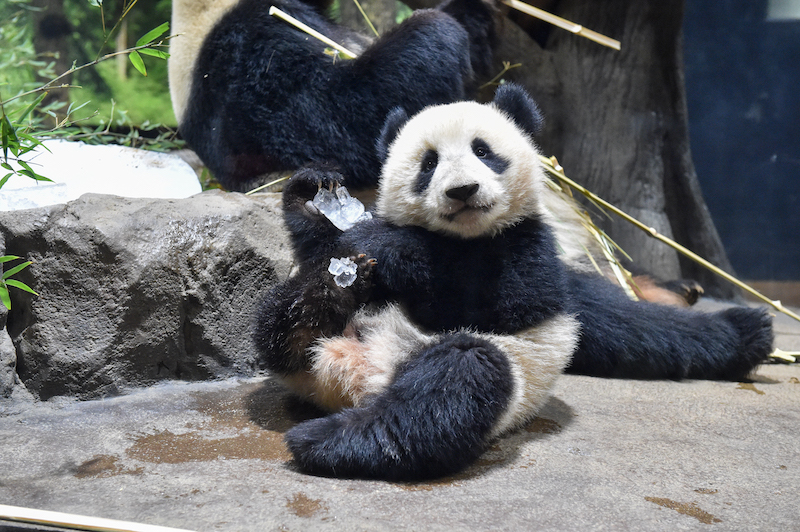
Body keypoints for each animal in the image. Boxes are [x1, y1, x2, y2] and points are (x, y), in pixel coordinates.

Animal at [252, 84, 776, 482]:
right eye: (428, 163)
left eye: (483, 151)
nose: (462, 190)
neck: (464, 237)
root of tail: (348, 378)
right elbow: (326, 246)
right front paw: (312, 196)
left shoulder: (530, 246)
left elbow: (497, 302)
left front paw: (390, 245)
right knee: (274, 319)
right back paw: (322, 301)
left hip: (498, 367)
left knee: (455, 381)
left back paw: (323, 441)